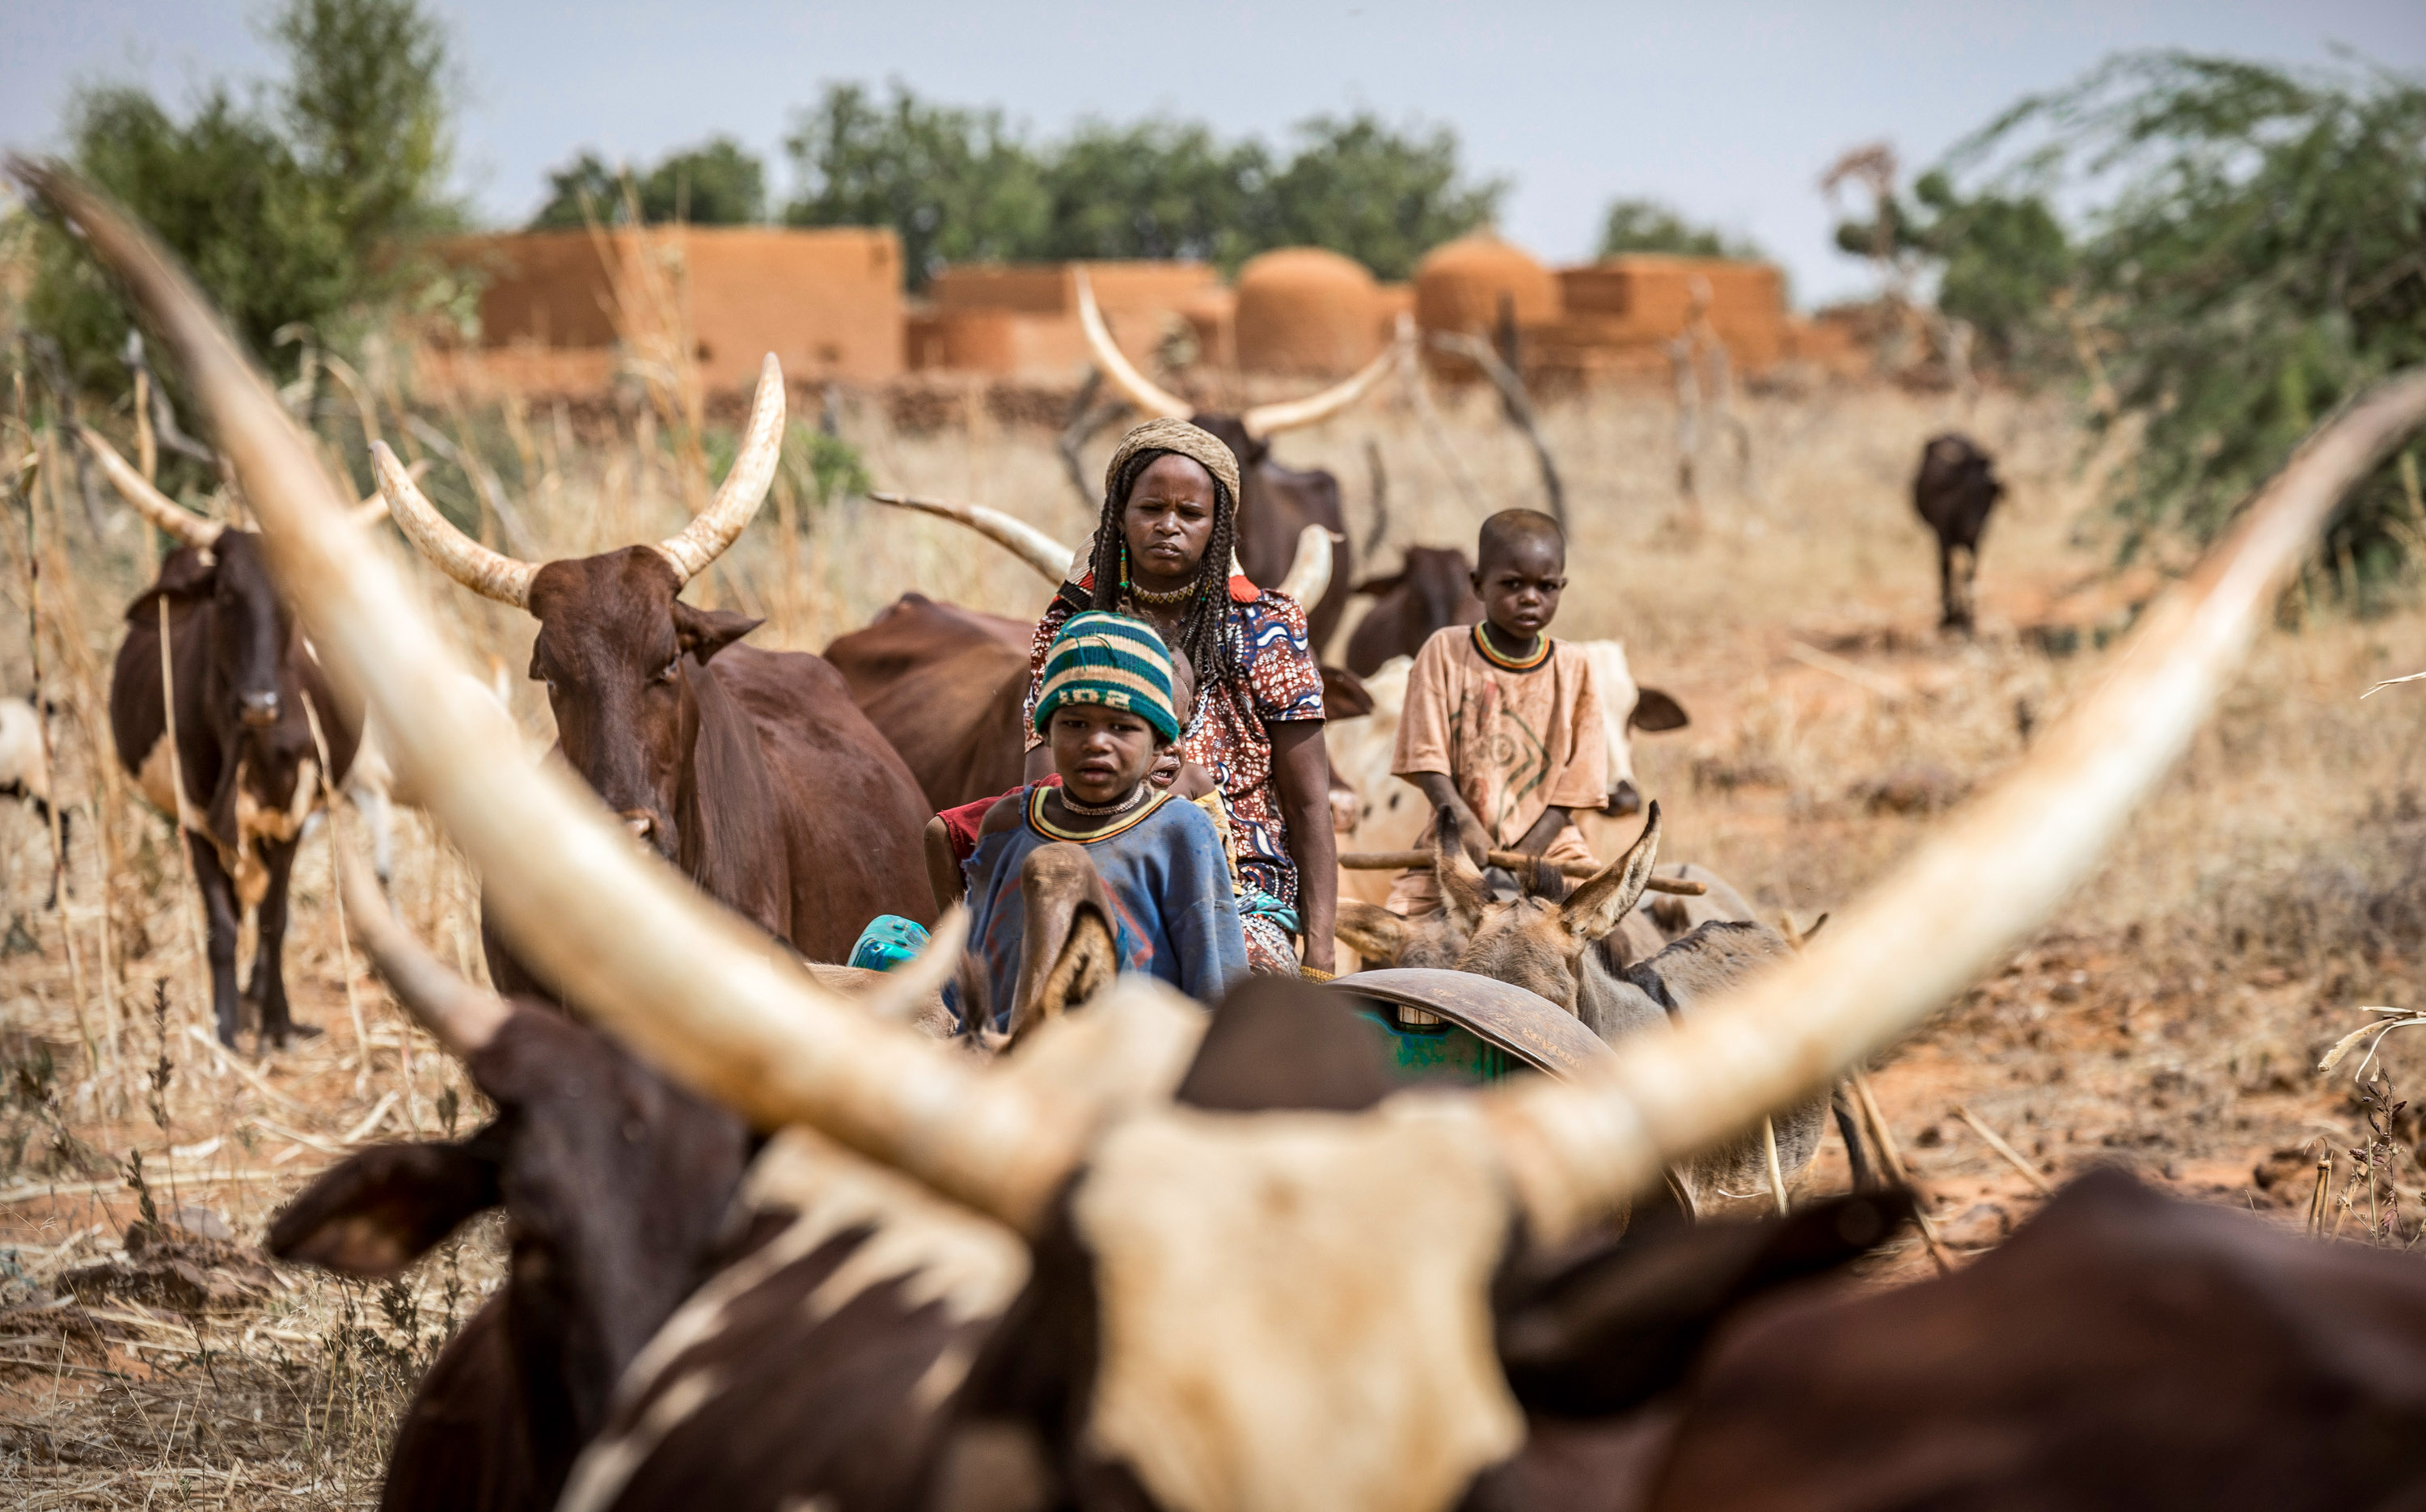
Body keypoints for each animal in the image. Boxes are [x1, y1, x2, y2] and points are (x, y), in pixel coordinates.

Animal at [1912, 432, 2009, 631]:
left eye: (1990, 491)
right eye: (1966, 489)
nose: (1974, 528)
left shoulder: (1977, 542)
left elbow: (1969, 573)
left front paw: (1968, 618)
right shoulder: (1943, 535)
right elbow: (1947, 570)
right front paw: (1948, 616)